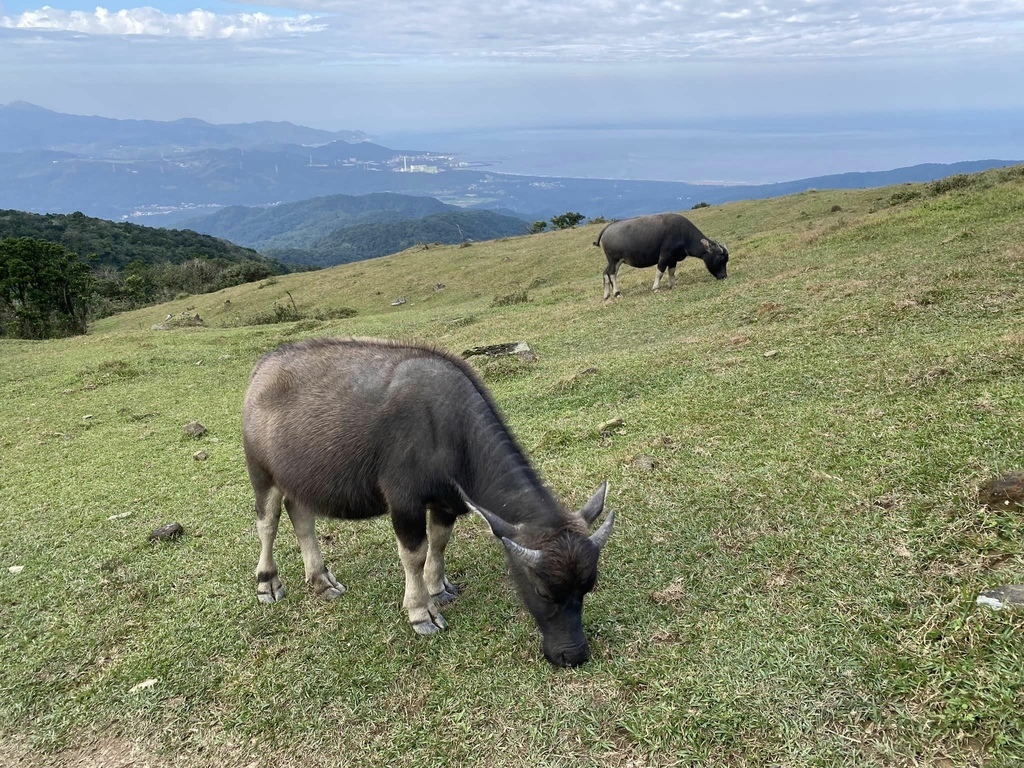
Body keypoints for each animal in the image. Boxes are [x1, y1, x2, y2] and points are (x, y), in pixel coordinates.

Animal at [243, 335, 610, 667]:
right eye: (542, 591)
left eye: (587, 587)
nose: (572, 654)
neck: (446, 430)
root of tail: (262, 369)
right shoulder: (404, 502)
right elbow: (414, 555)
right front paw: (421, 611)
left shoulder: (446, 503)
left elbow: (439, 542)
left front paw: (438, 588)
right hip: (261, 472)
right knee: (267, 523)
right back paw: (268, 583)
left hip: (299, 478)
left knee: (300, 516)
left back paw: (321, 579)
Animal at [593, 217, 729, 303]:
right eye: (720, 259)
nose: (724, 276)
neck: (683, 234)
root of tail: (607, 229)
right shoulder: (665, 256)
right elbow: (660, 271)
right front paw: (656, 288)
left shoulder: (673, 259)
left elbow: (671, 272)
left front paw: (672, 285)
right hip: (615, 260)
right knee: (612, 274)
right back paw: (617, 293)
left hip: (611, 261)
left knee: (605, 273)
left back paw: (606, 295)